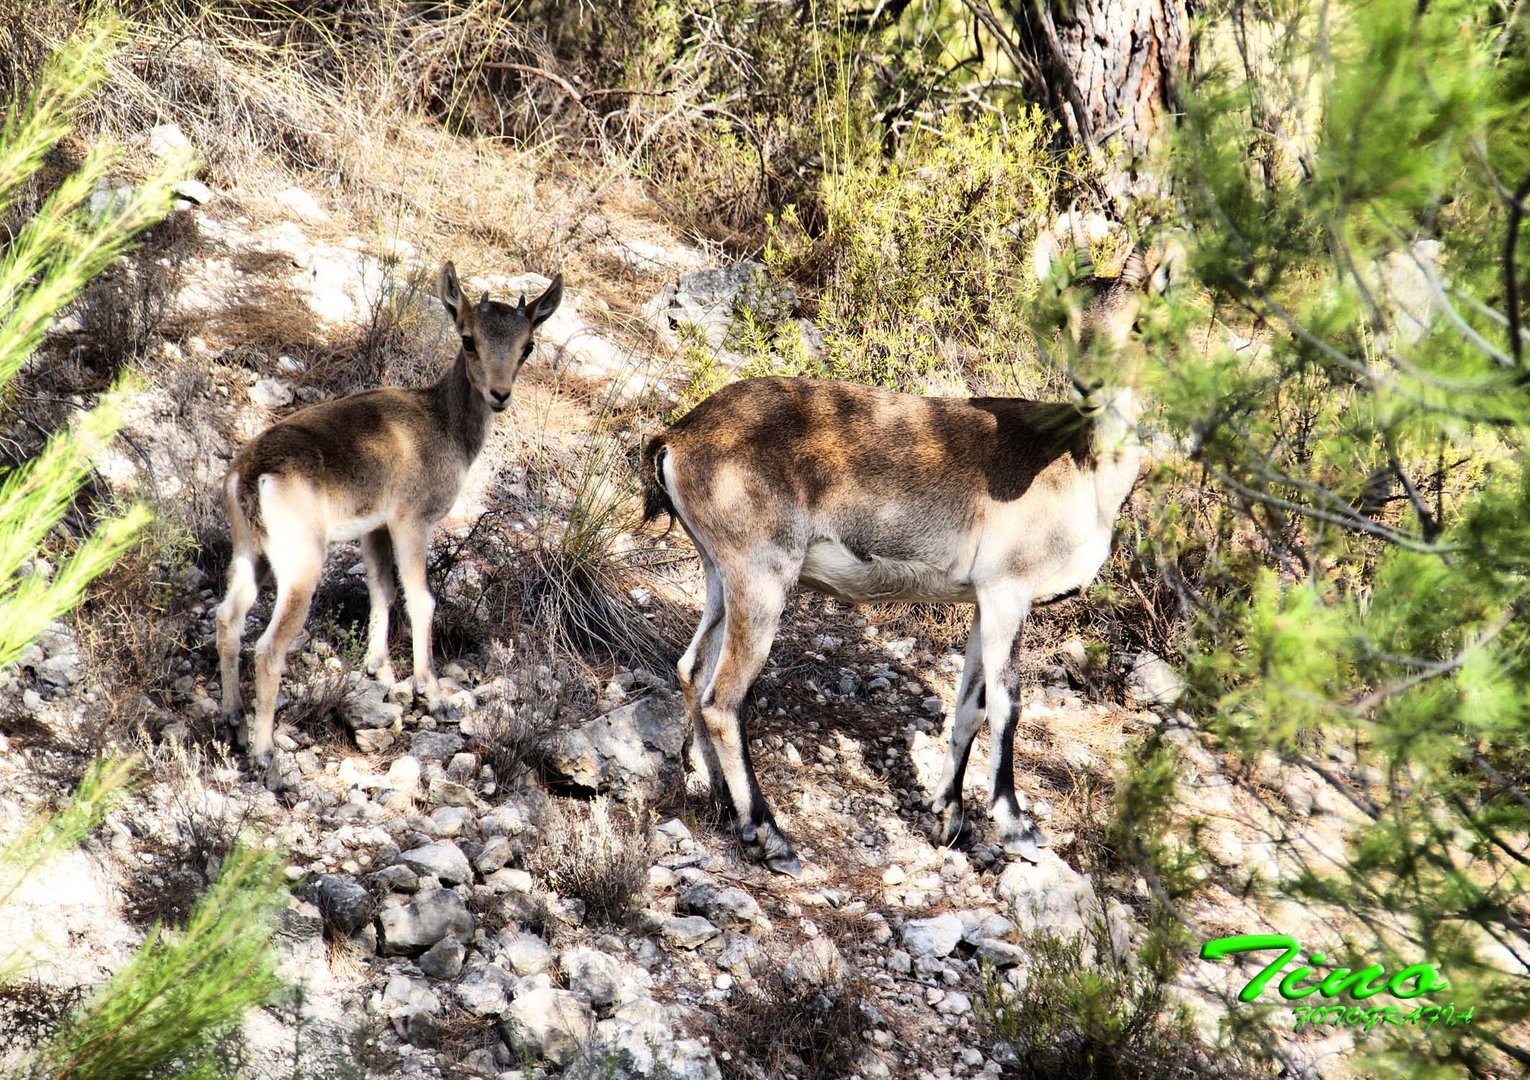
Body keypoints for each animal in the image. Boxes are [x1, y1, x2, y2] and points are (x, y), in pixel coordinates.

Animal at [215, 260, 563, 764]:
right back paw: (264, 752)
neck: (444, 424)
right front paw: (430, 692)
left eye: (528, 345)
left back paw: (232, 719)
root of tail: (251, 476)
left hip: (249, 553)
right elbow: (420, 599)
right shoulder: (411, 522)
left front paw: (378, 669)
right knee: (268, 647)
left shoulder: (374, 527)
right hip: (302, 563)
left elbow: (381, 588)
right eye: (468, 338)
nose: (500, 394)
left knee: (227, 618)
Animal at [636, 253, 1150, 875]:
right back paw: (769, 833)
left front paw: (947, 819)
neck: (1081, 467)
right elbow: (1008, 703)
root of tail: (679, 436)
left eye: (1140, 324)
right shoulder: (1008, 593)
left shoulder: (981, 602)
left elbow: (969, 706)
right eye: (1067, 321)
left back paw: (716, 796)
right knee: (723, 697)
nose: (1091, 385)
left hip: (721, 573)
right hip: (762, 578)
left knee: (692, 669)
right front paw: (1016, 827)